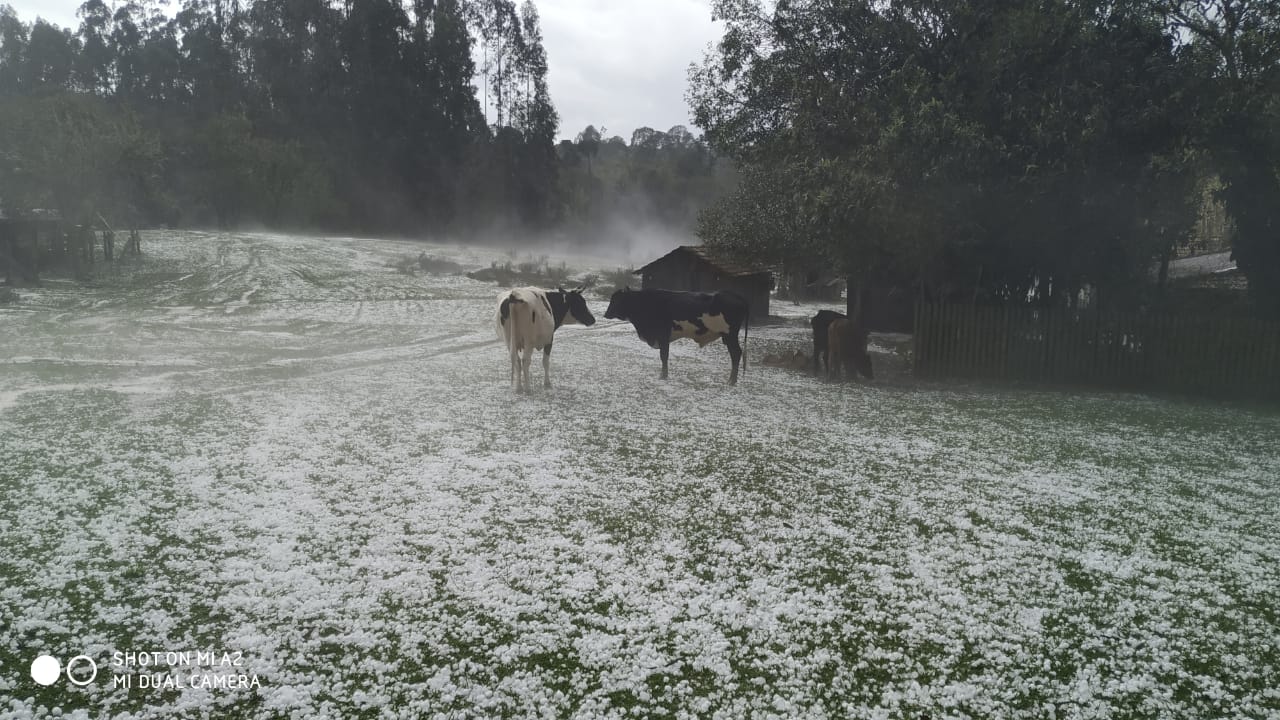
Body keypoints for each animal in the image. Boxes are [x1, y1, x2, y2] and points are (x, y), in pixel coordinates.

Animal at [601, 286, 747, 384]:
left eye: (617, 300)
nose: (606, 314)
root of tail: (737, 296)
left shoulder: (663, 336)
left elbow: (664, 356)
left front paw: (663, 376)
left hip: (730, 335)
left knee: (736, 354)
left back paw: (731, 381)